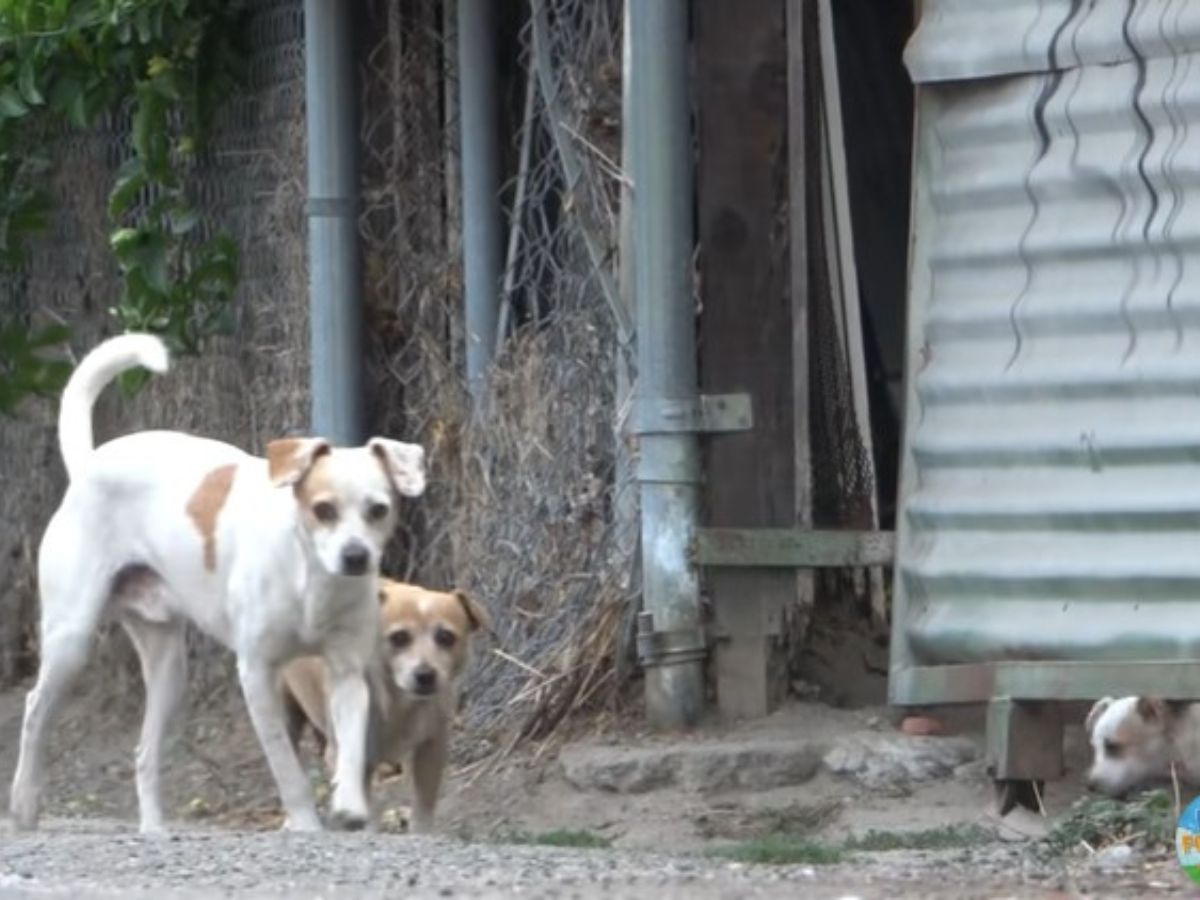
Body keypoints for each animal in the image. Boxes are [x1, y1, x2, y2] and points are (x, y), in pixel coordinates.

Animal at [8, 336, 427, 835]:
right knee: (34, 713)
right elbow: (287, 769)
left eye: (378, 509)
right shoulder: (258, 674)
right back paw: (24, 805)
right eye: (323, 510)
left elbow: (350, 746)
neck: (309, 580)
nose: (356, 557)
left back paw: (154, 830)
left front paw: (350, 805)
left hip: (169, 669)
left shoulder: (346, 672)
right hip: (71, 642)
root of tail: (88, 466)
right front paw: (305, 823)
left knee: (144, 753)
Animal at [280, 580, 487, 835]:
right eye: (399, 637)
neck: (400, 702)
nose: (425, 674)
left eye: (445, 637)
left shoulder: (432, 748)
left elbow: (423, 806)